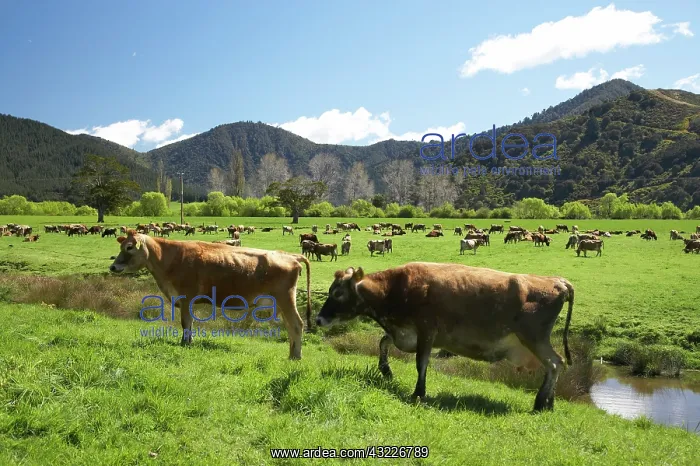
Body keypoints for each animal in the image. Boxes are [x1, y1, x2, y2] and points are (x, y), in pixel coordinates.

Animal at [109, 231, 312, 359]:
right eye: (122, 246)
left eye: (129, 247)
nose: (113, 267)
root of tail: (291, 255)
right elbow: (190, 323)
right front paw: (189, 341)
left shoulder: (185, 297)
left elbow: (185, 323)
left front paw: (185, 343)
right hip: (281, 302)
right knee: (290, 326)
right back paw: (292, 353)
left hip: (286, 299)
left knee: (296, 325)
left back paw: (296, 356)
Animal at [315, 263, 575, 412]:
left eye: (337, 292)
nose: (318, 319)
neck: (396, 289)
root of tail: (557, 281)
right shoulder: (404, 332)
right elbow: (383, 341)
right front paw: (386, 370)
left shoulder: (426, 331)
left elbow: (421, 362)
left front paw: (418, 393)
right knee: (555, 364)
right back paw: (549, 402)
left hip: (535, 338)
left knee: (555, 363)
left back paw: (541, 402)